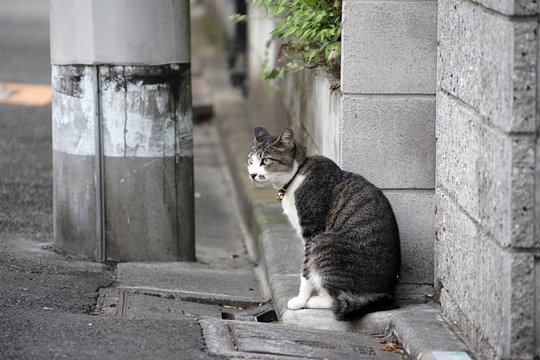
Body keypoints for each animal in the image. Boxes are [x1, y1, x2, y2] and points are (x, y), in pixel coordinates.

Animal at [247, 126, 398, 320]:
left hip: (324, 243)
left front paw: (300, 301)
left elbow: (306, 271)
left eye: (265, 160)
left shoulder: (312, 232)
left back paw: (315, 300)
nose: (252, 174)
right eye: (250, 161)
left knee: (336, 296)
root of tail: (386, 294)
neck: (297, 175)